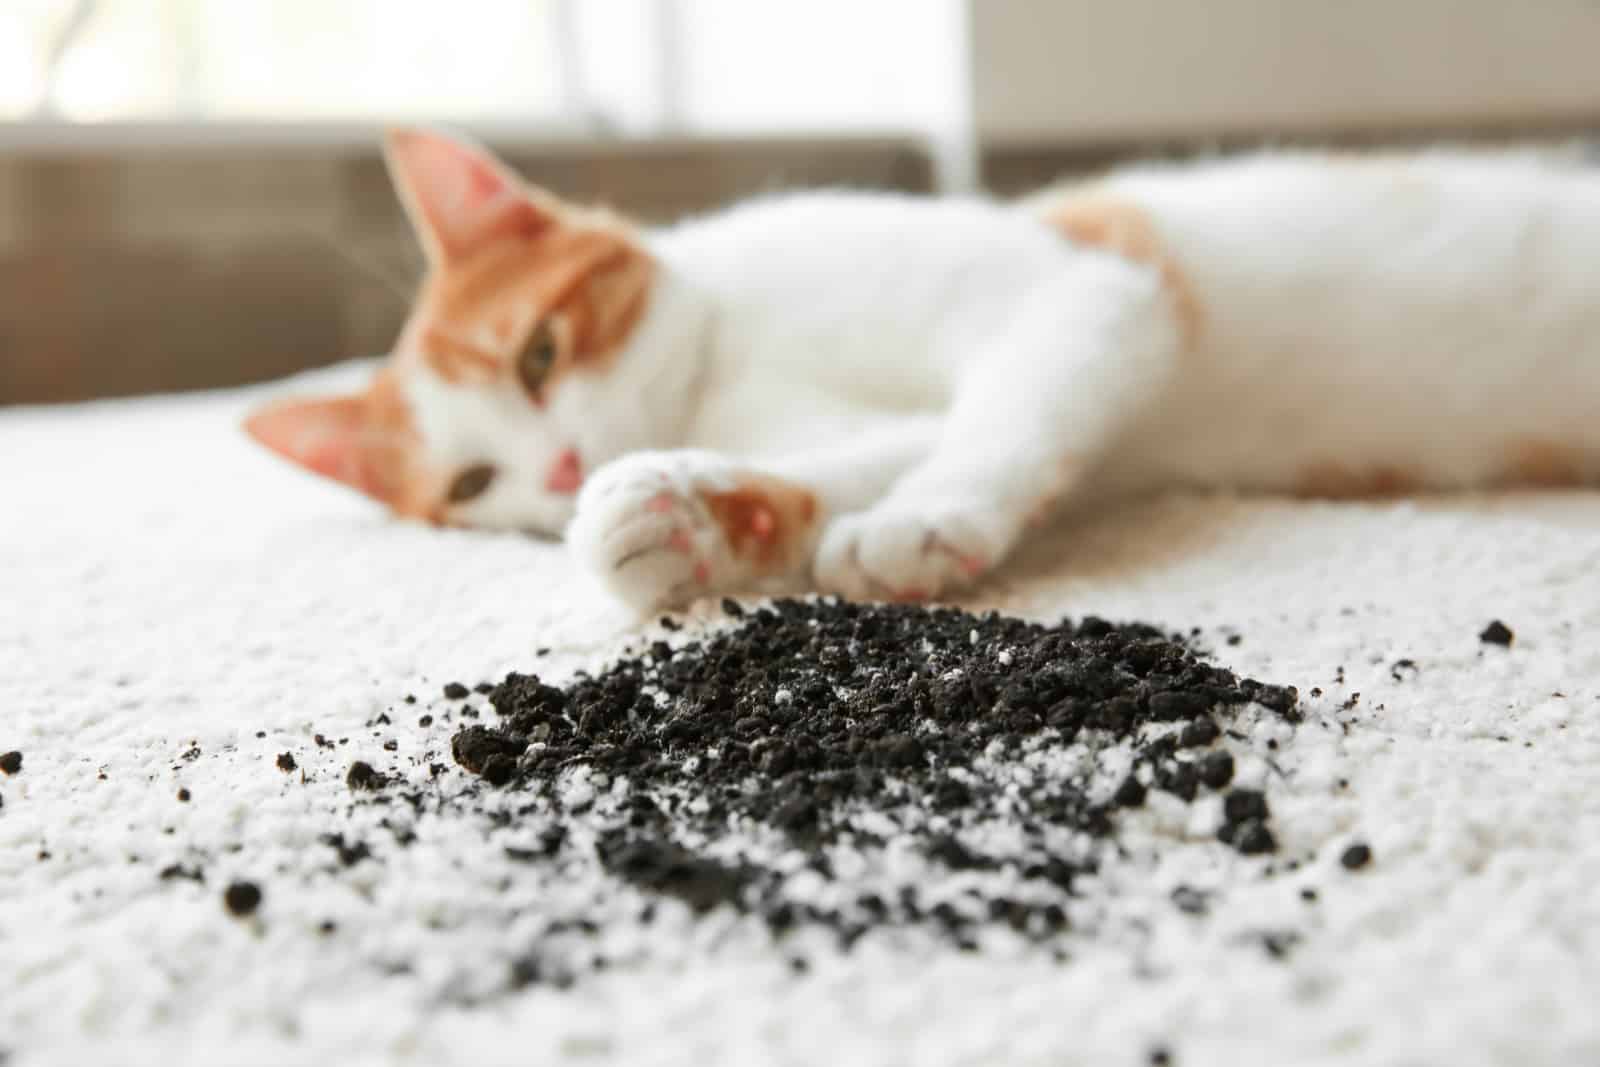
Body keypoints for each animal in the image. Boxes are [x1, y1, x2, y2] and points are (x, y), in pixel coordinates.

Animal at [243, 127, 1600, 607]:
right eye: (474, 486)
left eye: (538, 351)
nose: (567, 463)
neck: (728, 354)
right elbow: (871, 447)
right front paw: (682, 515)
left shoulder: (1084, 288)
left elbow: (994, 407)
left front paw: (928, 517)